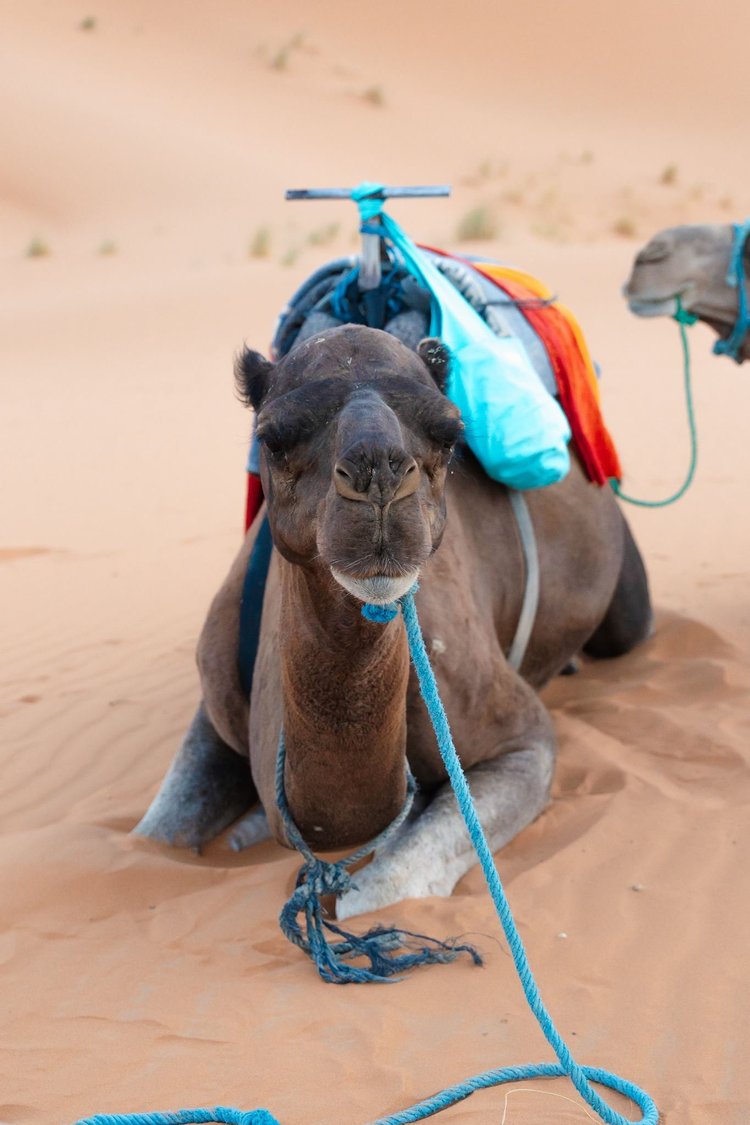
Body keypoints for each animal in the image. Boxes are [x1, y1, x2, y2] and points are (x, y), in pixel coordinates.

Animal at [135, 325, 652, 919]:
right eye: (273, 437)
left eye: (449, 433)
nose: (377, 470)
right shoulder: (217, 698)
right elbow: (155, 836)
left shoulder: (521, 739)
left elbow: (379, 891)